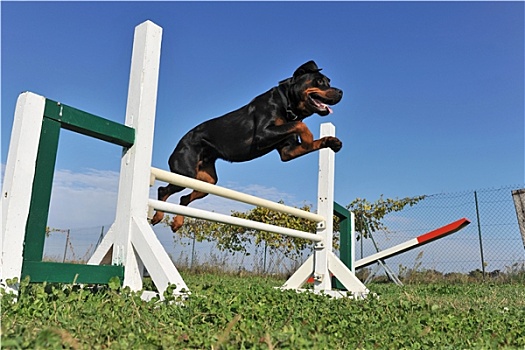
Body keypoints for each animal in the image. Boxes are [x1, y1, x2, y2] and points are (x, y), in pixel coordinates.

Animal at [149, 61, 342, 231]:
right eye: (319, 82)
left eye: (329, 81)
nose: (340, 91)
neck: (286, 102)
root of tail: (177, 147)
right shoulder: (263, 134)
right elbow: (300, 126)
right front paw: (308, 137)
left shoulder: (288, 151)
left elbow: (304, 136)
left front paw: (332, 141)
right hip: (185, 173)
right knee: (162, 190)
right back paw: (158, 216)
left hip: (207, 181)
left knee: (183, 199)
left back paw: (177, 223)